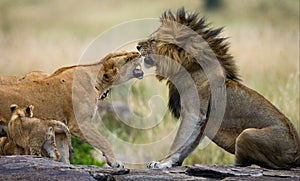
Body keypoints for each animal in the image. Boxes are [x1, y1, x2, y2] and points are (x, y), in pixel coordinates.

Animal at [0, 51, 144, 168]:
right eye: (127, 59)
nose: (139, 52)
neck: (98, 82)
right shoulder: (80, 124)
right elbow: (103, 141)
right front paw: (116, 163)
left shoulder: (61, 130)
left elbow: (63, 155)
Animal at [138, 8, 300, 170]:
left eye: (153, 40)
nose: (138, 46)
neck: (183, 66)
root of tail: (297, 153)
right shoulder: (201, 123)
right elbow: (189, 144)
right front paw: (174, 162)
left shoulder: (193, 114)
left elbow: (178, 142)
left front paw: (162, 163)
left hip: (246, 134)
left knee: (246, 163)